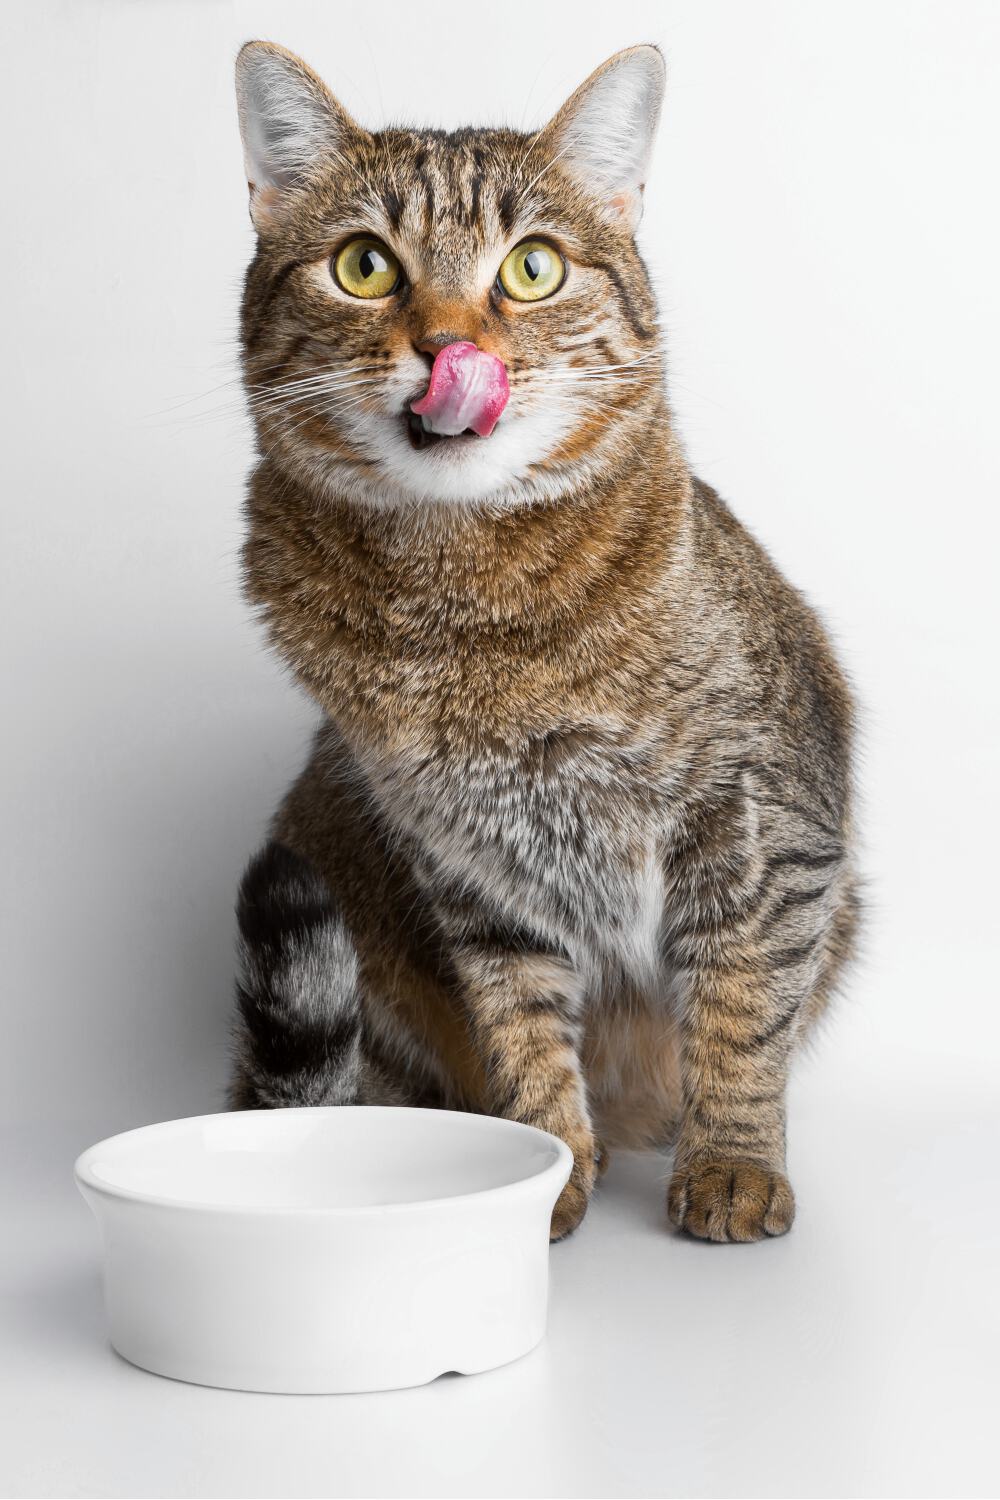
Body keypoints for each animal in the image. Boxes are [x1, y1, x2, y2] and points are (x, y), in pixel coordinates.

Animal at [229, 43, 863, 1242]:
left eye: (530, 270)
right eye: (364, 267)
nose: (449, 347)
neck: (459, 607)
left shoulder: (767, 824)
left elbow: (743, 1004)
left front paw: (733, 1163)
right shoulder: (475, 872)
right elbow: (520, 1025)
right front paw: (551, 1166)